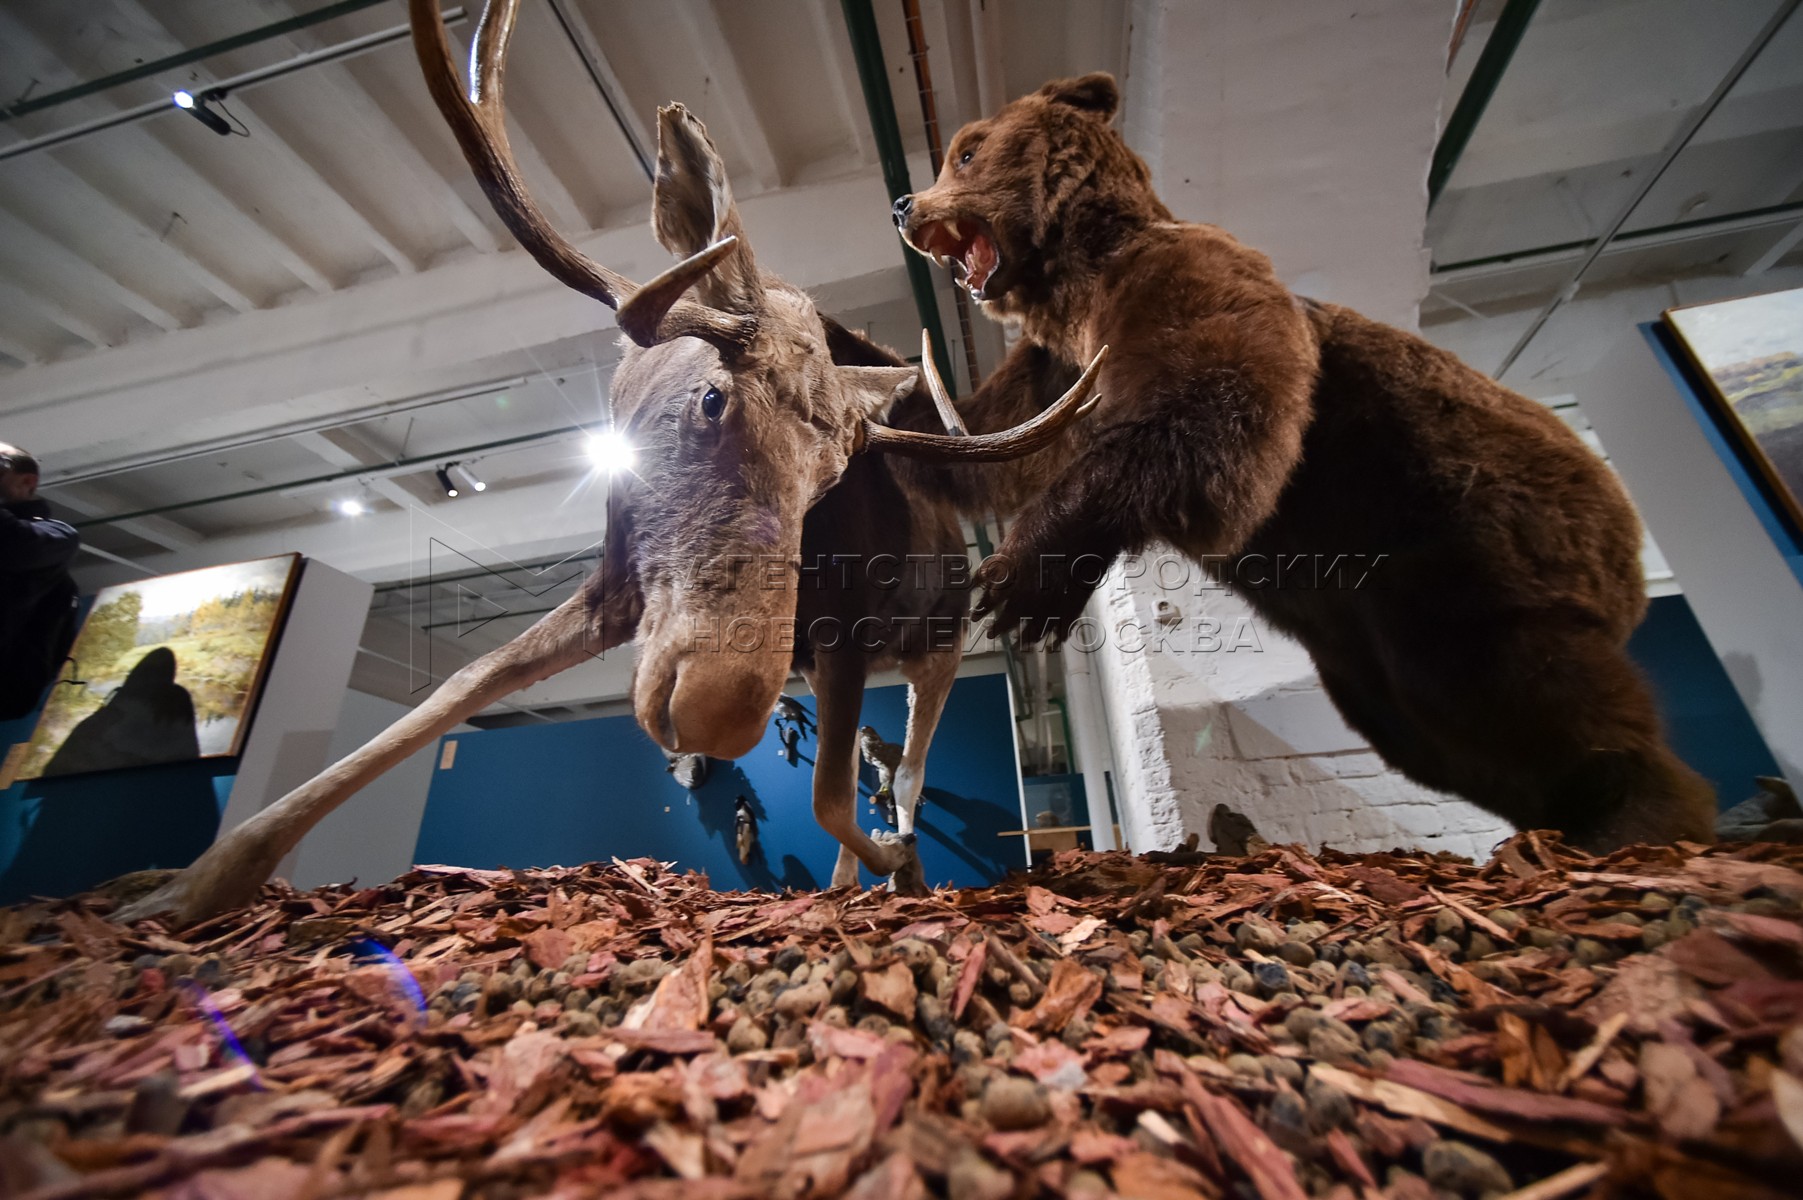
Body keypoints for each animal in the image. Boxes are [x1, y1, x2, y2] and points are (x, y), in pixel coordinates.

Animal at [119, 0, 1103, 918]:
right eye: (711, 401)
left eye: (828, 484)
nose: (714, 707)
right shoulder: (621, 584)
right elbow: (461, 685)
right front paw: (192, 884)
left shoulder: (845, 631)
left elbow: (831, 795)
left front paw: (895, 862)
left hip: (936, 642)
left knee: (901, 770)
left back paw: (894, 870)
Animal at [894, 72, 1709, 850]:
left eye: (965, 151)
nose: (903, 204)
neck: (1073, 282)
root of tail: (1626, 541)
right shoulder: (1054, 369)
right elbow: (985, 442)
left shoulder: (1179, 283)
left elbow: (1210, 401)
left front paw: (1021, 581)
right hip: (1373, 619)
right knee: (1432, 729)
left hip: (1471, 540)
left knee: (1520, 688)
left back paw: (1632, 818)